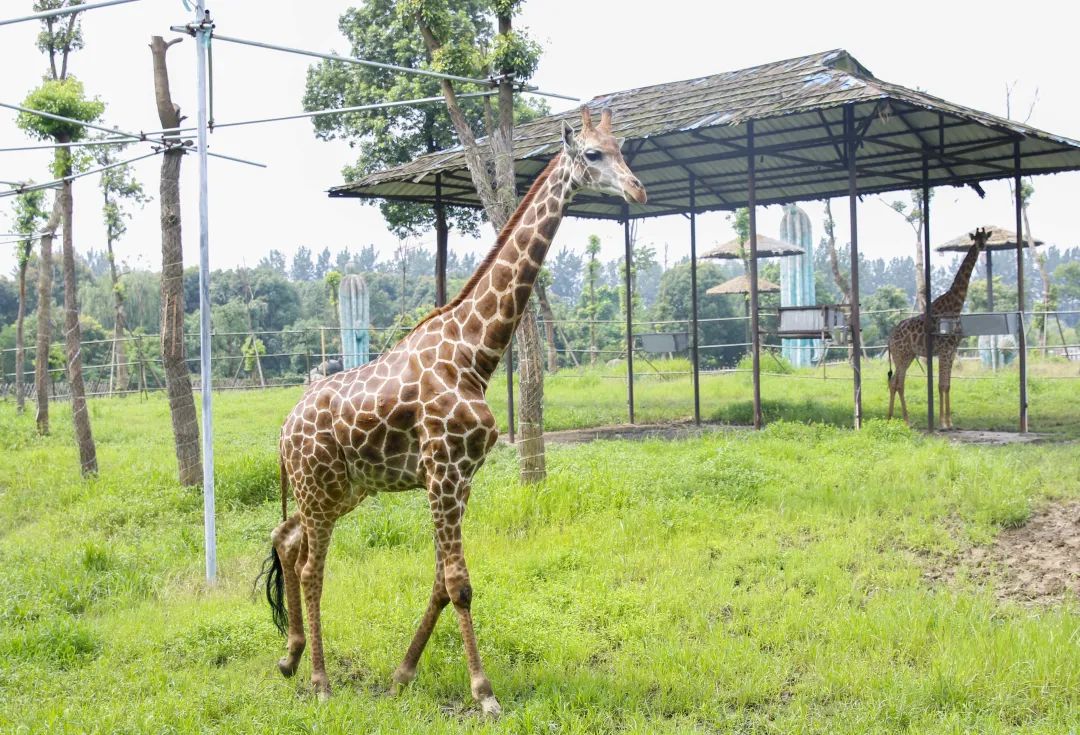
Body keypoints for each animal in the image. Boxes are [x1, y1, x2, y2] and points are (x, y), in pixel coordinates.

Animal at [259, 106, 648, 712]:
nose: (637, 190)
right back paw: (320, 680)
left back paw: (291, 656)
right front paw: (484, 693)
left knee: (286, 541)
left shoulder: (460, 478)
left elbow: (442, 581)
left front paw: (401, 675)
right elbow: (460, 584)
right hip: (320, 490)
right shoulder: (444, 473)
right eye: (592, 154)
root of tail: (282, 432)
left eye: (622, 147)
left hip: (339, 489)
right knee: (310, 569)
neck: (474, 354)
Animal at [885, 226, 989, 427]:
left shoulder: (952, 350)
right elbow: (941, 385)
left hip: (909, 355)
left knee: (895, 381)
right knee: (897, 382)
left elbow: (948, 385)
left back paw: (894, 419)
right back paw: (901, 420)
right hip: (901, 355)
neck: (956, 305)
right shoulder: (944, 349)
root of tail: (890, 337)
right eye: (975, 238)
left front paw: (949, 421)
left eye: (985, 238)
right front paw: (942, 423)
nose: (981, 246)